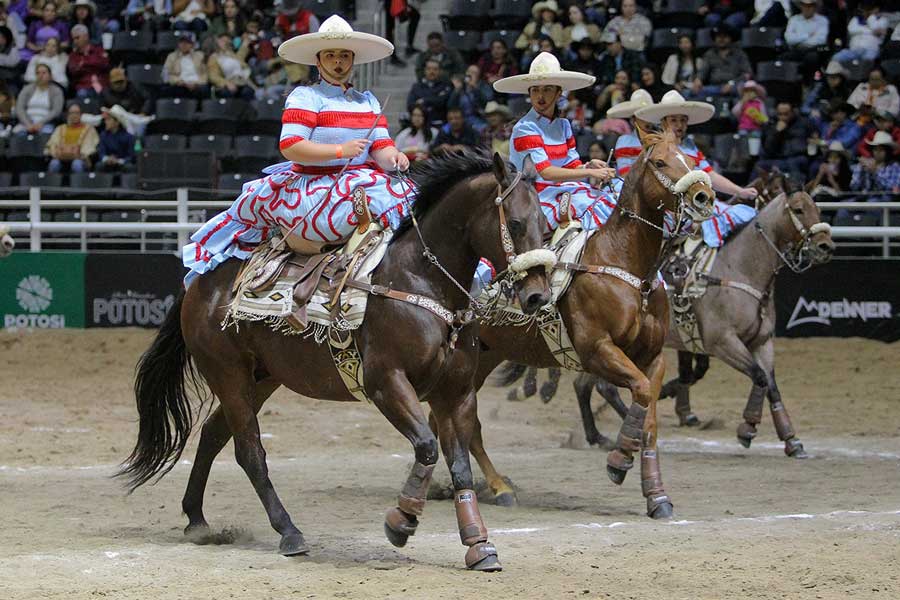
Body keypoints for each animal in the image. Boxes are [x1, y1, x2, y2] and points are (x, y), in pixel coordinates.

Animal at [116, 151, 552, 572]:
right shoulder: (386, 383)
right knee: (249, 452)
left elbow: (459, 464)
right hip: (229, 373)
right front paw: (401, 522)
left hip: (260, 378)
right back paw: (289, 532)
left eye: (546, 224)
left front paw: (479, 545)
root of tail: (199, 281)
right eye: (514, 223)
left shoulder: (456, 393)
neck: (419, 281)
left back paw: (197, 519)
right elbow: (427, 447)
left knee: (213, 434)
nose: (538, 295)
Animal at [454, 129, 712, 516]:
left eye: (690, 159)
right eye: (661, 162)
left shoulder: (653, 357)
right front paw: (619, 460)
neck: (627, 267)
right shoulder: (598, 350)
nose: (703, 195)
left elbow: (649, 417)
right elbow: (637, 391)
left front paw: (656, 495)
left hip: (485, 356)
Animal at [502, 190, 832, 458]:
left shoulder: (762, 342)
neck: (737, 271)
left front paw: (791, 440)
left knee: (584, 386)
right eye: (799, 209)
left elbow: (770, 383)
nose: (826, 246)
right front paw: (747, 428)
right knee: (600, 387)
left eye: (817, 207)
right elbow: (758, 377)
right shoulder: (723, 342)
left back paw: (598, 433)